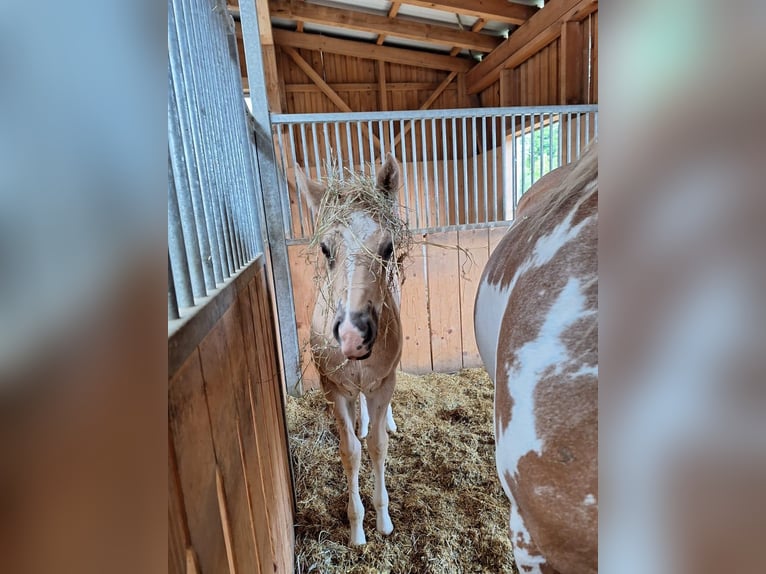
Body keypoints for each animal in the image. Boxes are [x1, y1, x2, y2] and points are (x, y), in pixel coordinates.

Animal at [296, 154, 404, 546]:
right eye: (326, 249)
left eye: (388, 247)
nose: (353, 337)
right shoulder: (334, 387)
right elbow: (351, 451)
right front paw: (357, 529)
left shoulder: (382, 383)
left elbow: (377, 447)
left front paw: (383, 521)